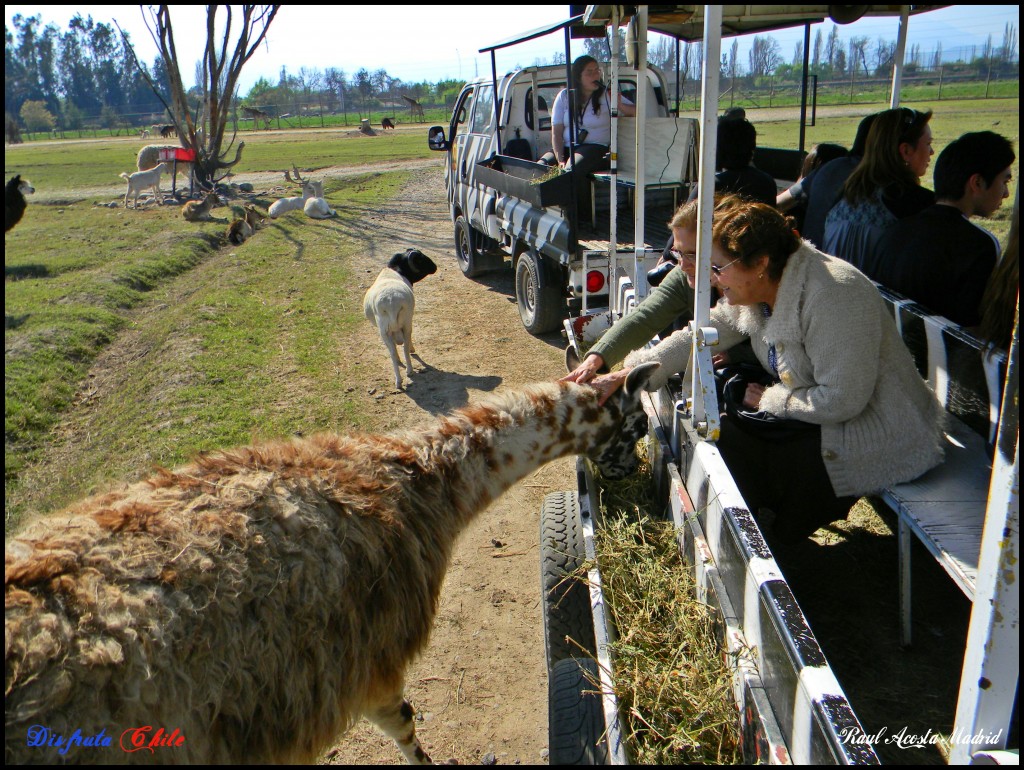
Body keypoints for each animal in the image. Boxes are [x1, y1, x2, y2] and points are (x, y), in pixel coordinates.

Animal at [364, 249, 436, 387]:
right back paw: (409, 370)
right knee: (405, 347)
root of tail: (391, 301)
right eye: (421, 260)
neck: (394, 270)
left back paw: (398, 380)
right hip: (406, 323)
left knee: (392, 352)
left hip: (384, 331)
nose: (435, 267)